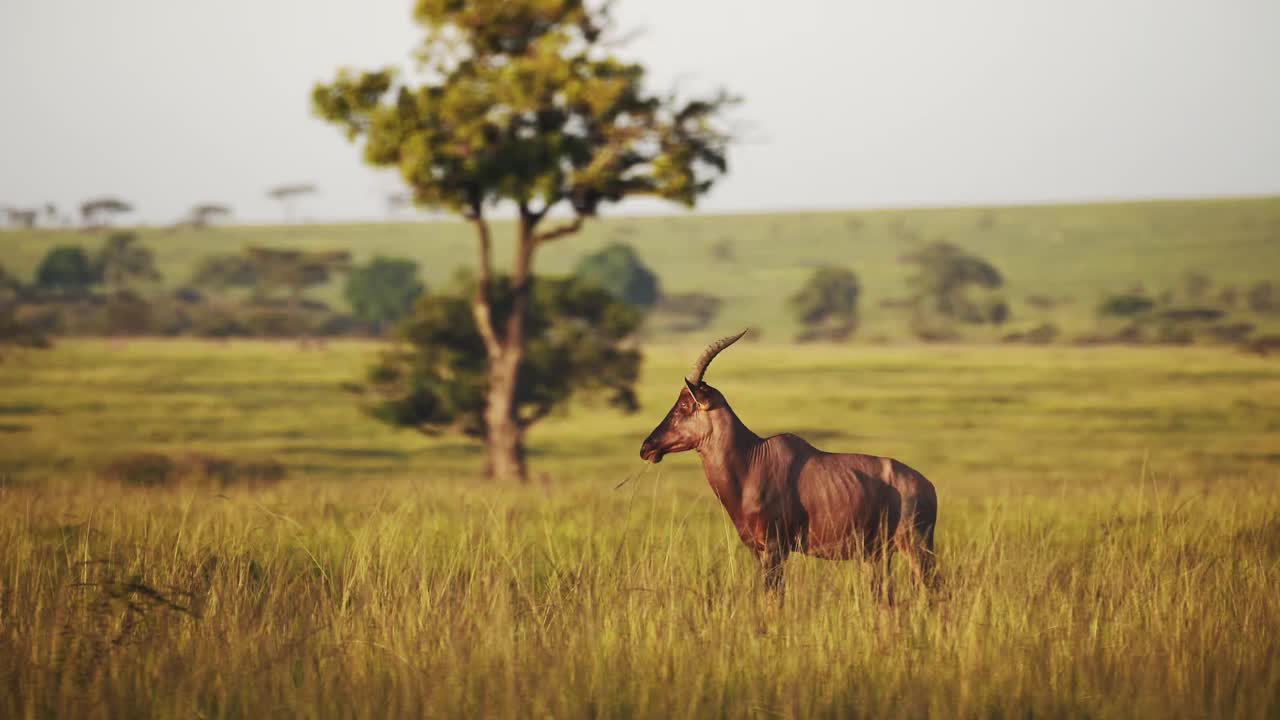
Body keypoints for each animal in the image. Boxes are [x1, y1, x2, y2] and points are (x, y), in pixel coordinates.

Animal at [640, 330, 942, 594]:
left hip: (915, 548)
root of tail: (928, 487)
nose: (647, 447)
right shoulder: (757, 551)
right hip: (877, 555)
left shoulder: (776, 550)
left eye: (685, 405)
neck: (752, 460)